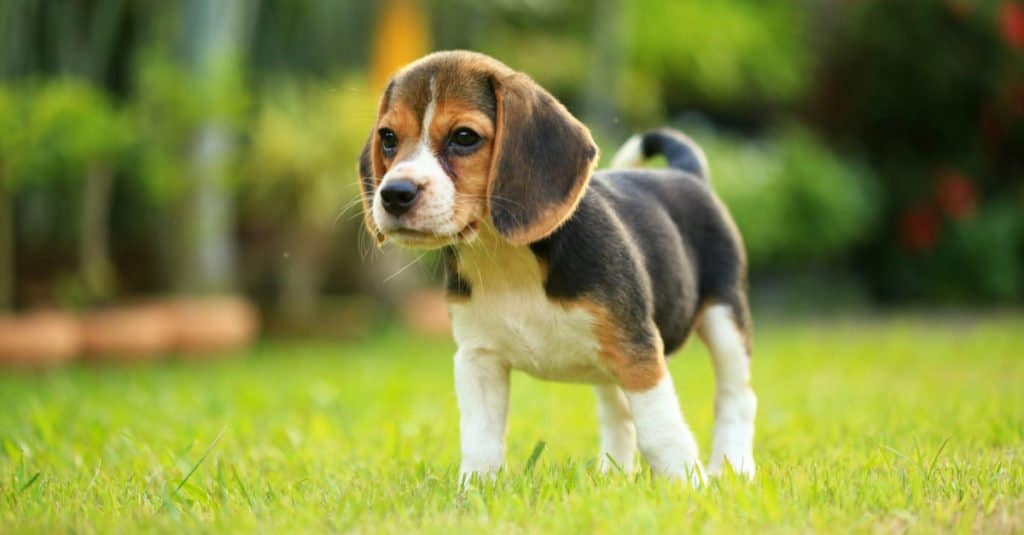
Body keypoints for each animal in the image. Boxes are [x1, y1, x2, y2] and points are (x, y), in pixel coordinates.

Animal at [358, 50, 753, 483]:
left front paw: (685, 485)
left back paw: (733, 468)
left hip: (724, 318)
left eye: (464, 137)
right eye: (388, 138)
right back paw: (613, 475)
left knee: (736, 398)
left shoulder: (637, 350)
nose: (394, 194)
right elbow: (481, 440)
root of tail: (685, 173)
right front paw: (475, 488)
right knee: (617, 413)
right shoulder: (478, 358)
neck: (503, 255)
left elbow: (661, 432)